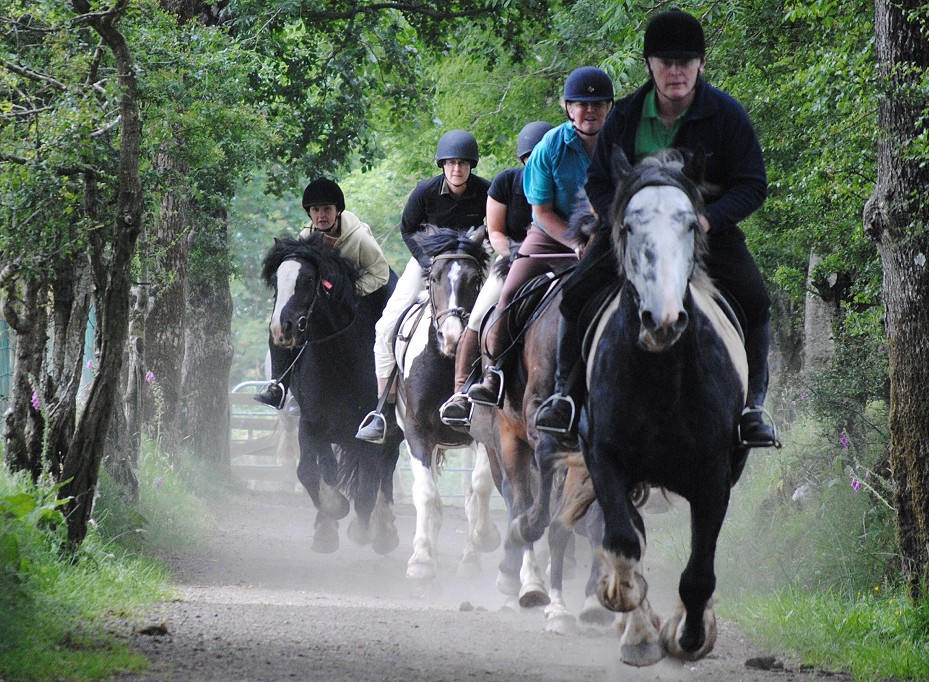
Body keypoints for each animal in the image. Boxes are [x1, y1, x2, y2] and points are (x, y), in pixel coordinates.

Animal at [261, 233, 403, 555]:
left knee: (386, 474)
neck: (340, 359)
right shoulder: (311, 425)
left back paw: (384, 532)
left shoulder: (370, 435)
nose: (281, 329)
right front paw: (330, 517)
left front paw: (360, 529)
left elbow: (367, 489)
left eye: (308, 279)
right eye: (276, 280)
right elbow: (310, 472)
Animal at [394, 225, 502, 581]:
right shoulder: (416, 432)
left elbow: (479, 488)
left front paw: (484, 539)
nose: (452, 336)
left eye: (474, 278)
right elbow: (426, 494)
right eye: (435, 278)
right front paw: (422, 560)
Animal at [571, 149, 750, 666]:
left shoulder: (714, 476)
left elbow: (699, 573)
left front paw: (690, 635)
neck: (662, 379)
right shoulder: (605, 459)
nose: (663, 321)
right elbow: (623, 544)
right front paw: (633, 621)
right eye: (629, 226)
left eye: (690, 224)